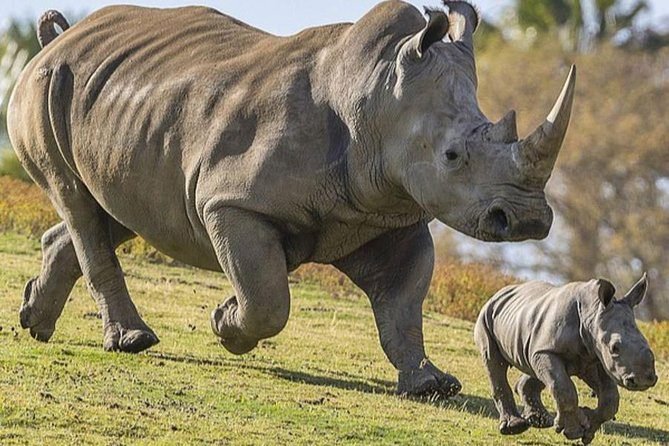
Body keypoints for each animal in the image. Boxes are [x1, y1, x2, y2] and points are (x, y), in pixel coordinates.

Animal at [8, 0, 576, 397]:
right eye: (453, 156)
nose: (527, 220)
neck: (375, 96)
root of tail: (56, 42)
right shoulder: (232, 202)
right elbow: (268, 300)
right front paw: (225, 323)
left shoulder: (388, 213)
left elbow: (404, 304)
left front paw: (432, 385)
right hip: (43, 87)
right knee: (76, 201)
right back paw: (133, 341)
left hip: (124, 105)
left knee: (120, 207)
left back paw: (35, 321)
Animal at [475, 275, 658, 444]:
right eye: (614, 348)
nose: (644, 380)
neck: (592, 312)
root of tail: (499, 293)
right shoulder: (551, 350)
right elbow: (564, 388)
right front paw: (574, 431)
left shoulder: (595, 356)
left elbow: (610, 398)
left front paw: (587, 428)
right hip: (487, 316)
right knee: (494, 362)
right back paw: (515, 427)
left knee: (535, 367)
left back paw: (542, 421)